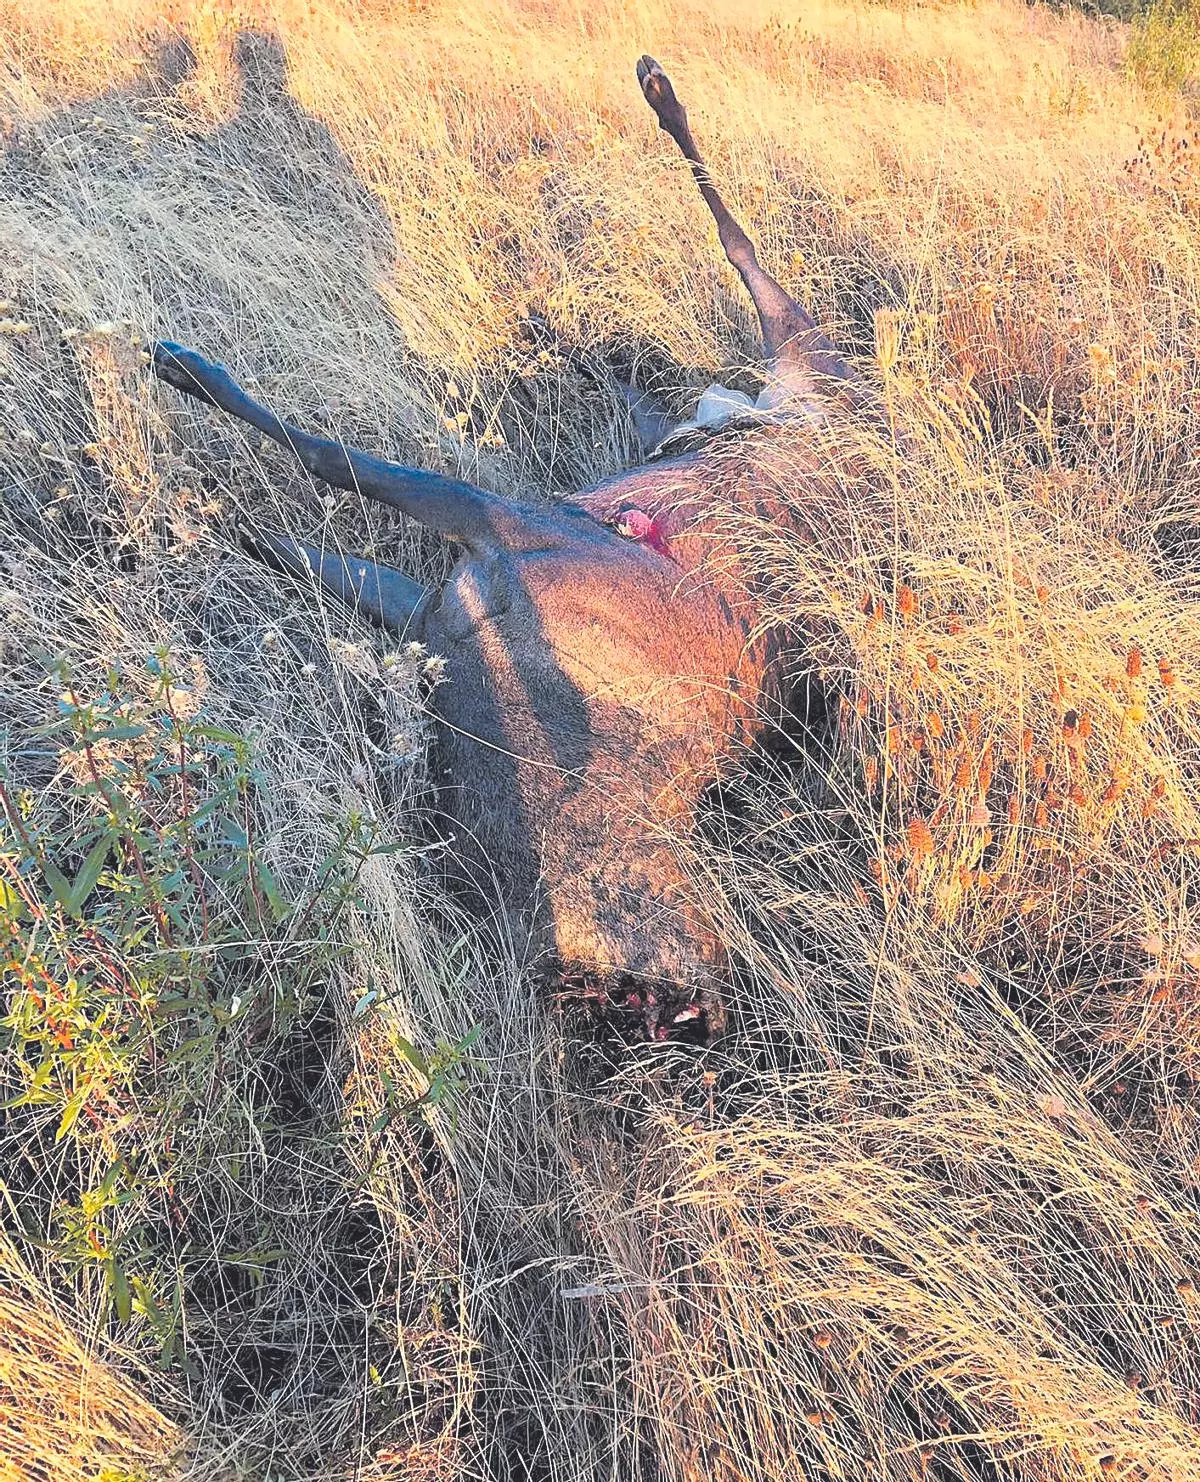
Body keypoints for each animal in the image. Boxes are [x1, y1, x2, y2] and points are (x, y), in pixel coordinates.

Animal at [151, 57, 859, 1031]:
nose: (708, 1012)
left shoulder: (486, 528)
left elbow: (330, 458)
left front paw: (187, 380)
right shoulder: (433, 595)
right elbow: (286, 540)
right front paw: (196, 512)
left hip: (798, 349)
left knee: (740, 247)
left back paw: (655, 100)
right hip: (745, 386)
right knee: (675, 347)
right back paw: (564, 311)